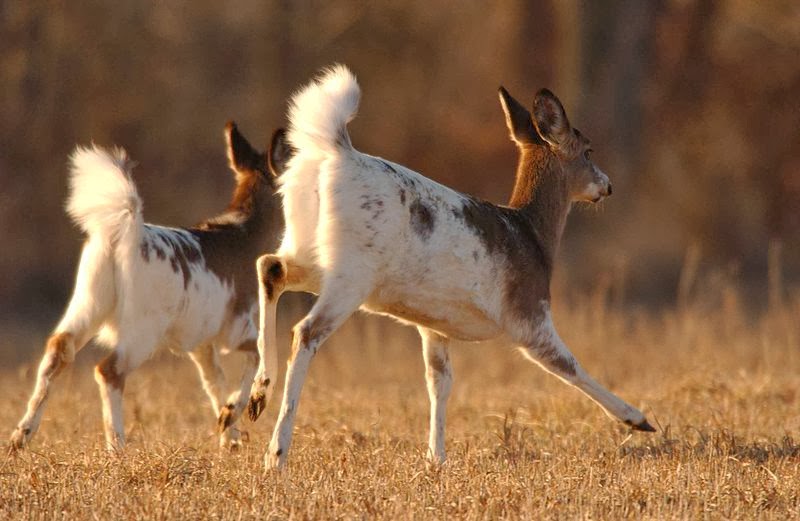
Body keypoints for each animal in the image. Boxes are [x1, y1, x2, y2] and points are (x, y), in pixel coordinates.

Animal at [9, 122, 292, 450]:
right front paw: (233, 417)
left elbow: (214, 382)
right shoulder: (237, 328)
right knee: (108, 370)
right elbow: (256, 358)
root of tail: (120, 236)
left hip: (88, 303)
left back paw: (20, 437)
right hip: (143, 327)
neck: (248, 235)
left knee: (57, 350)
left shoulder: (201, 344)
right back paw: (116, 445)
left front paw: (229, 435)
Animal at [248, 65, 656, 468]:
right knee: (305, 331)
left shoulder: (433, 325)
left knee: (270, 266)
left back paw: (258, 394)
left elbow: (439, 382)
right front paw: (638, 419)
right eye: (588, 150)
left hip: (312, 253)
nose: (607, 186)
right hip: (352, 273)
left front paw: (436, 457)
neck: (534, 236)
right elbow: (569, 366)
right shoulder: (529, 315)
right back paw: (276, 452)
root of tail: (334, 152)